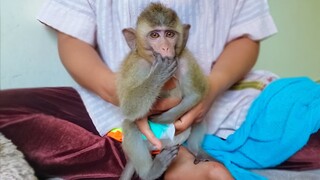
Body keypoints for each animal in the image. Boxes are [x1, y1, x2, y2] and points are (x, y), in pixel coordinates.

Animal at [117, 2, 210, 180]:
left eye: (169, 34)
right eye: (154, 35)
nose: (166, 47)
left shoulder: (184, 59)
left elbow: (196, 95)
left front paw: (164, 118)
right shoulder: (136, 67)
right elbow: (130, 108)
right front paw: (158, 74)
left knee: (200, 112)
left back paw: (196, 148)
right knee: (130, 124)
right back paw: (150, 171)